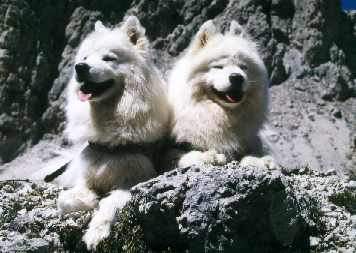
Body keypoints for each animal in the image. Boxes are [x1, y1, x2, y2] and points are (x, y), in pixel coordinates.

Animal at [57, 15, 171, 249]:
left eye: (108, 58)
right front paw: (88, 199)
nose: (80, 67)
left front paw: (96, 232)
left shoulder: (134, 181)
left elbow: (109, 203)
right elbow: (64, 200)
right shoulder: (87, 174)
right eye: (85, 57)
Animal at [168, 19, 276, 169]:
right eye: (218, 67)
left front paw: (260, 160)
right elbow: (185, 155)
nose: (237, 77)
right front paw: (209, 156)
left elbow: (252, 155)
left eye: (243, 67)